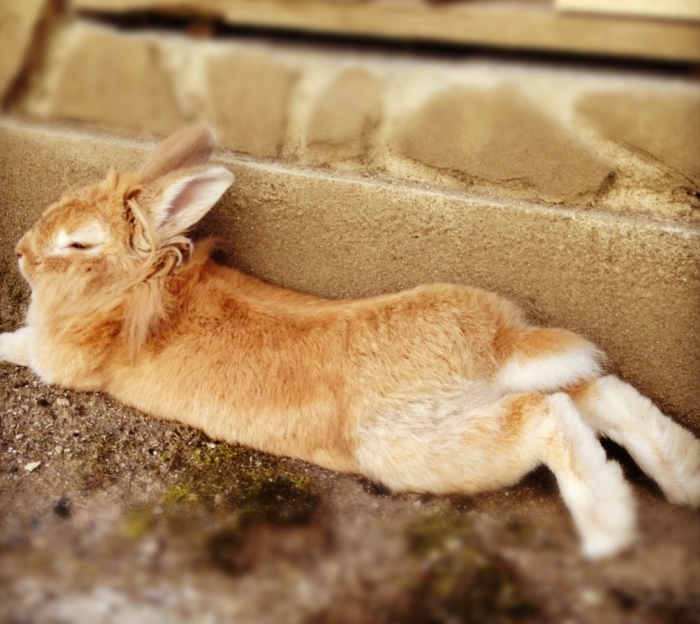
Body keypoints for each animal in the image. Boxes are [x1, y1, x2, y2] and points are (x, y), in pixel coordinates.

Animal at [1, 125, 699, 560]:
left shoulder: (60, 359)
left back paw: (609, 528)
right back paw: (682, 479)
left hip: (417, 446)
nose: (21, 253)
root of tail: (497, 342)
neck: (133, 287)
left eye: (80, 244)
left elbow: (18, 345)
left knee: (548, 416)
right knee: (597, 391)